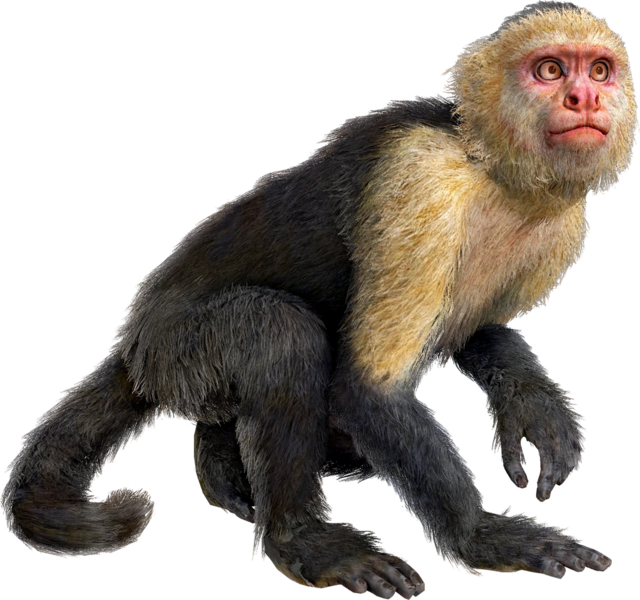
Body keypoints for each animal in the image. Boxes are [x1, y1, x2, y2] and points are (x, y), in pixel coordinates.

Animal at [1, 1, 636, 597]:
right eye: (550, 70)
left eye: (599, 71)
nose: (583, 97)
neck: (493, 169)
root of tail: (132, 343)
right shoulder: (421, 180)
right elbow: (370, 388)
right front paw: (483, 537)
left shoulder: (566, 228)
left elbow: (474, 330)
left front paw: (531, 399)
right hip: (173, 349)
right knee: (281, 335)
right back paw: (301, 540)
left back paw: (221, 459)